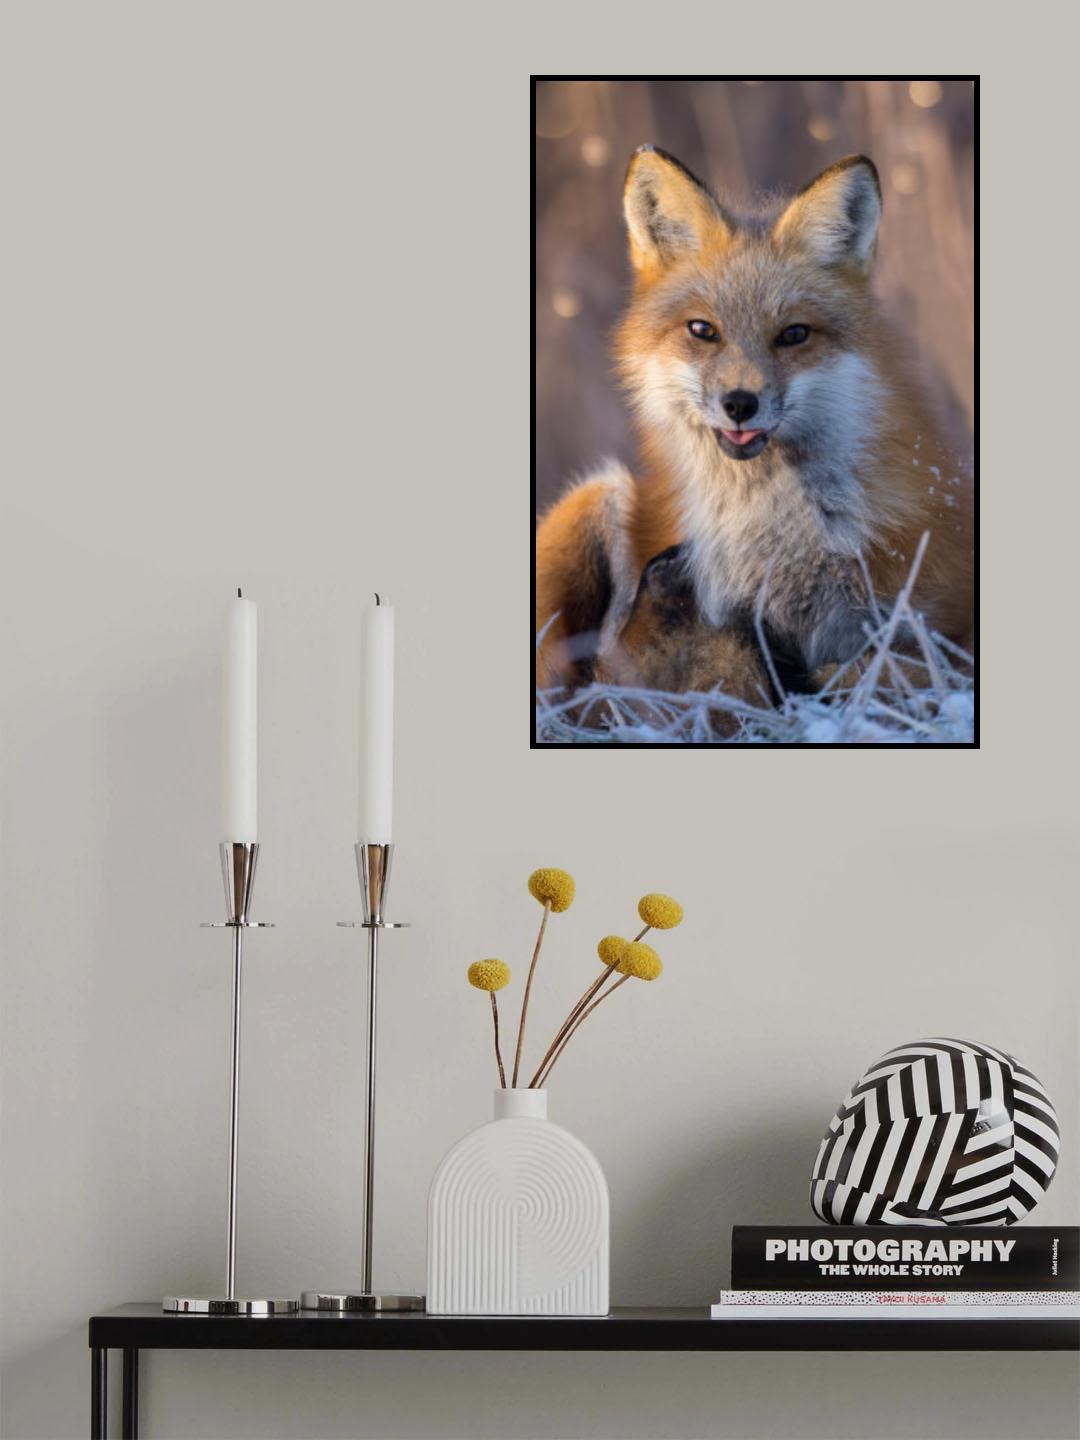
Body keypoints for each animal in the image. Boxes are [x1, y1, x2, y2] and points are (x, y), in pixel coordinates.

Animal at [535, 147, 974, 695]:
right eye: (703, 331)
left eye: (794, 334)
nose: (740, 403)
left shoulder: (923, 624)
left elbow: (866, 669)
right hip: (593, 496)